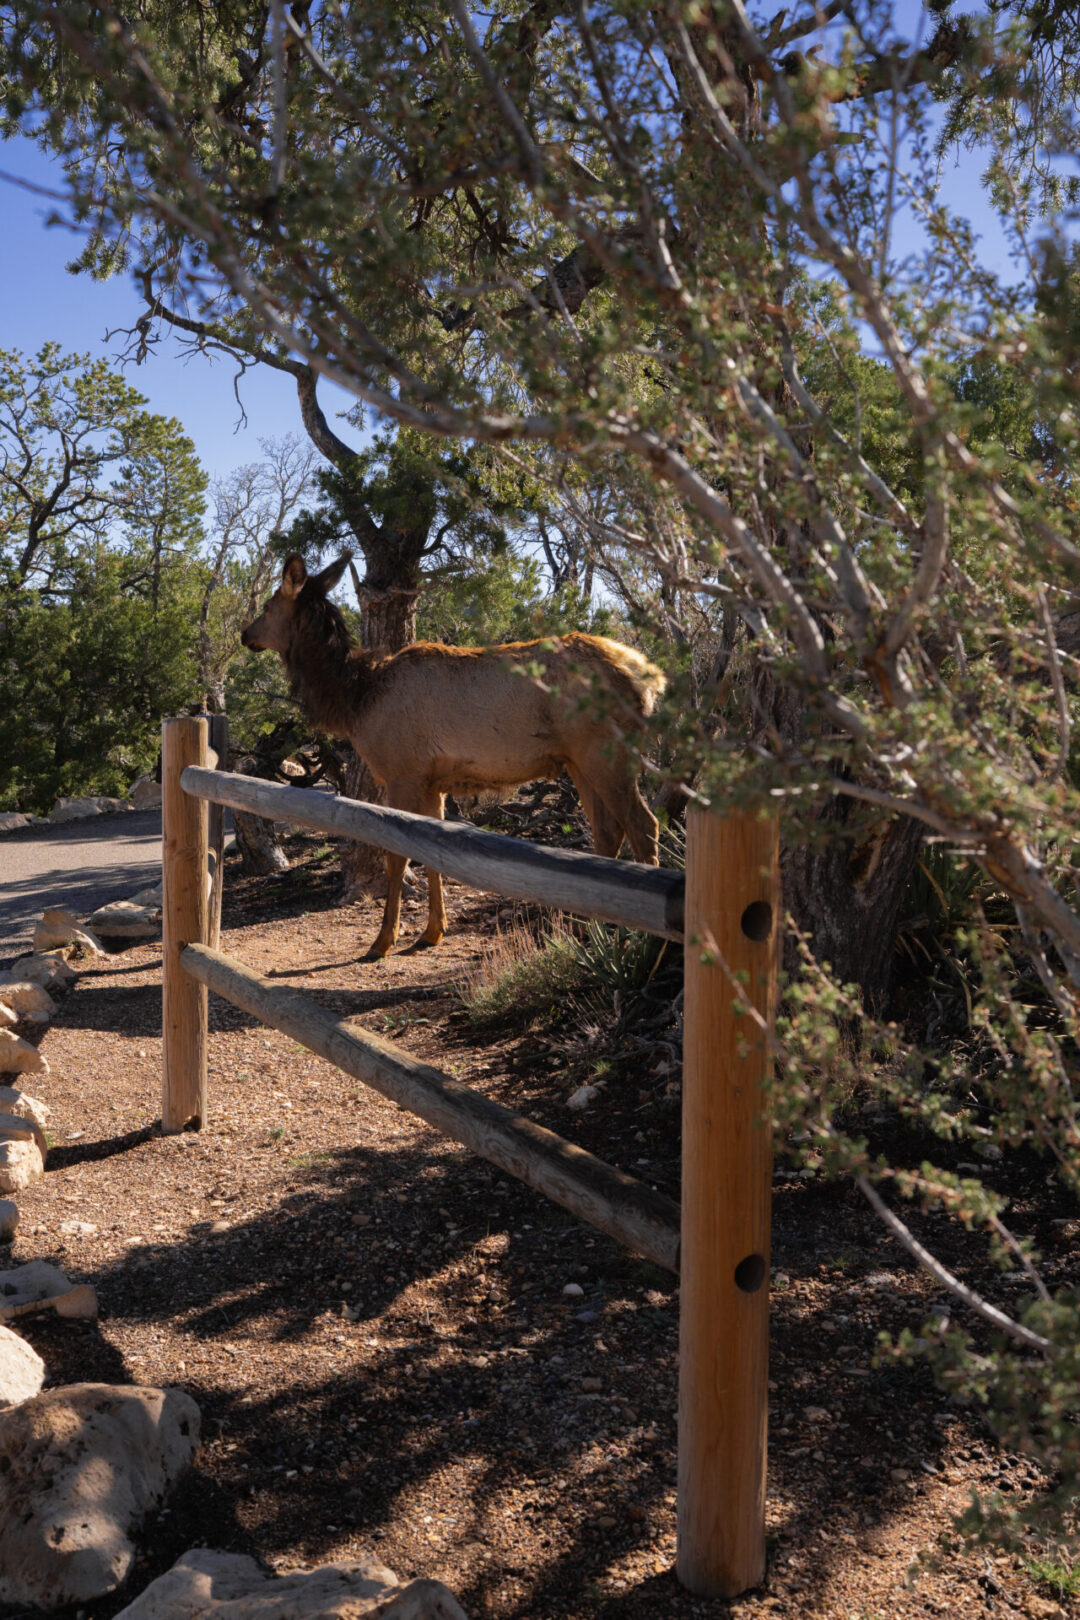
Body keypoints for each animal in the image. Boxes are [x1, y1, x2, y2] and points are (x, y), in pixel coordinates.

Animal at [240, 553, 665, 959]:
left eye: (269, 604)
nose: (246, 634)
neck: (357, 698)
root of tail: (651, 676)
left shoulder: (404, 773)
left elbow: (398, 857)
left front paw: (383, 941)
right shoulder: (433, 781)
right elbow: (430, 853)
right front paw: (431, 933)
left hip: (606, 755)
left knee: (644, 825)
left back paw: (647, 945)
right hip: (579, 761)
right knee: (607, 833)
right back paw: (590, 933)